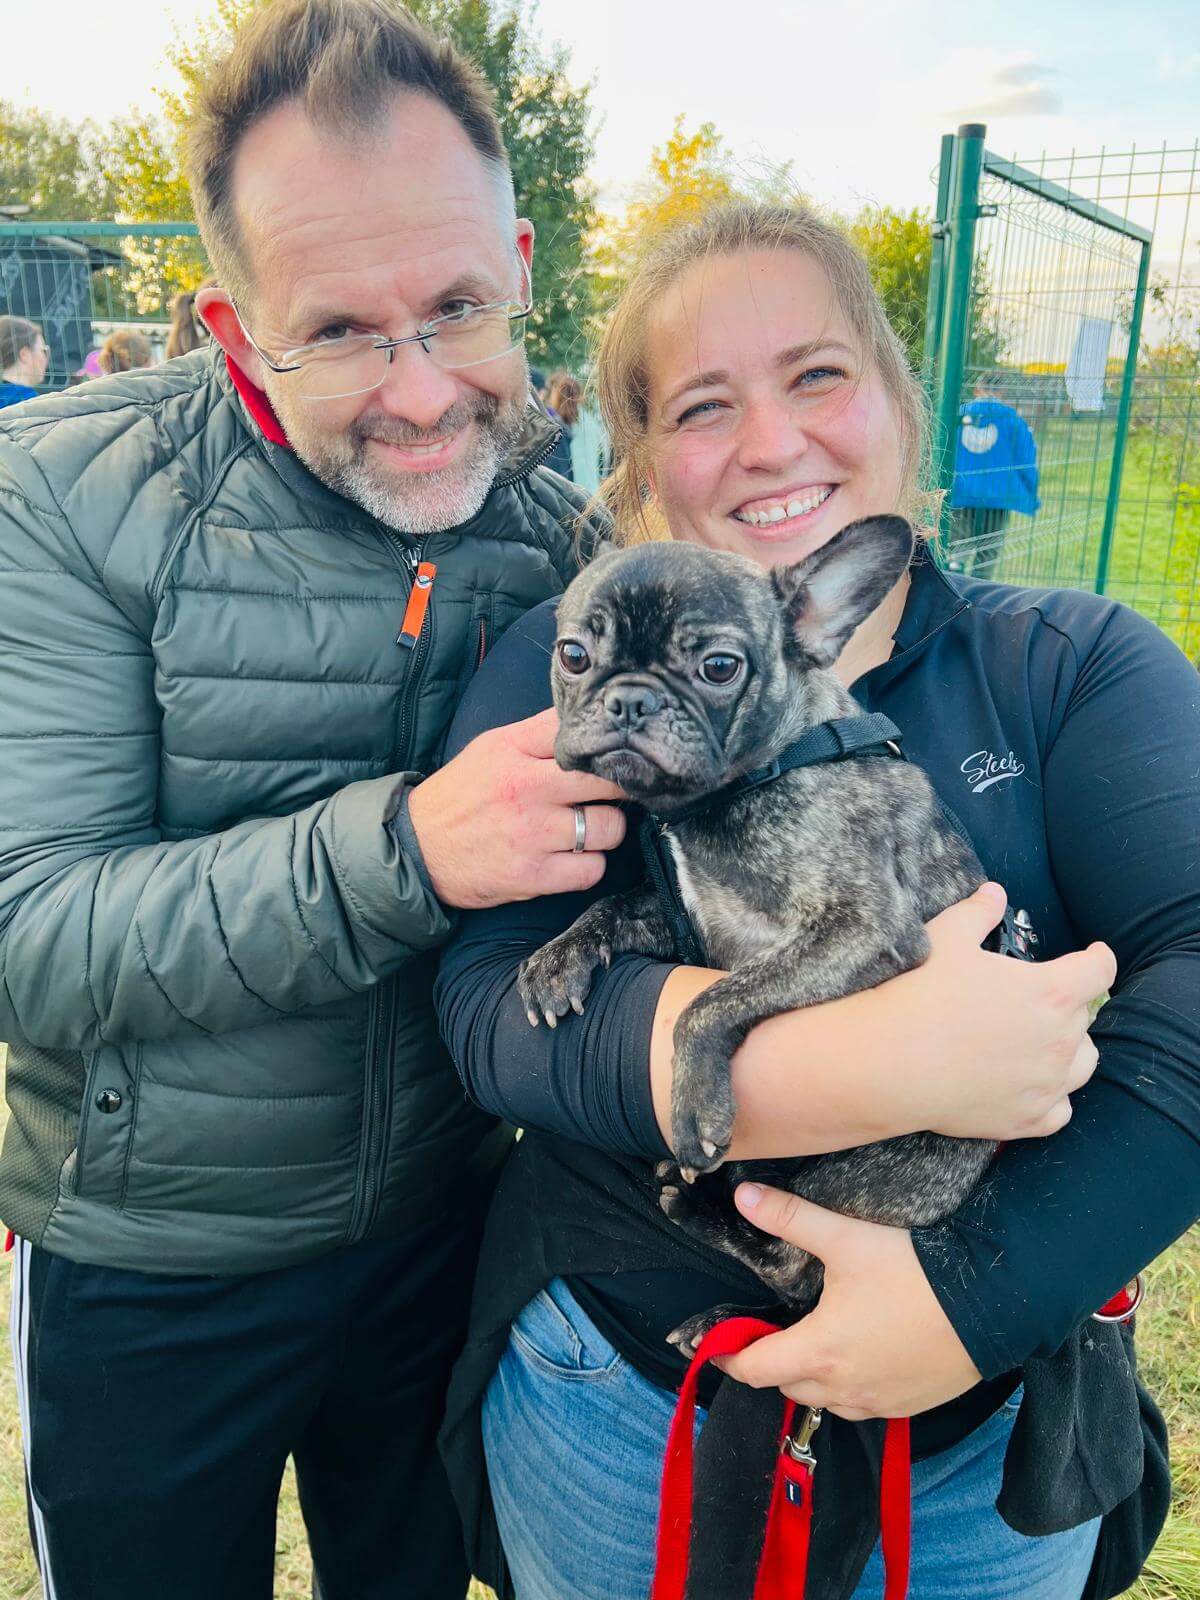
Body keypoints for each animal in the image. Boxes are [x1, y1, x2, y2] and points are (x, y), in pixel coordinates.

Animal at [518, 516, 998, 1351]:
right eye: (574, 655)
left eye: (718, 667)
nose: (631, 700)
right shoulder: (680, 910)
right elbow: (612, 909)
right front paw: (557, 959)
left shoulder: (861, 928)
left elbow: (709, 1003)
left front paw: (692, 1101)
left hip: (855, 1172)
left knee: (799, 1269)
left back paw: (702, 1218)